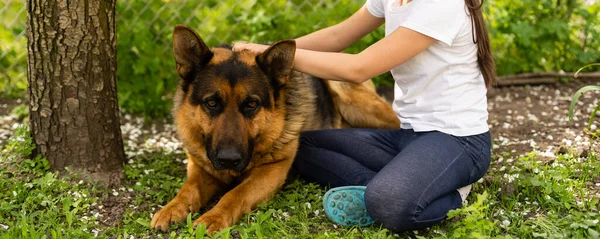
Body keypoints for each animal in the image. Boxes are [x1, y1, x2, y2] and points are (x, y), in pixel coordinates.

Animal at [151, 24, 398, 232]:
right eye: (211, 103)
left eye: (251, 104)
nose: (228, 160)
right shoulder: (201, 166)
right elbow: (188, 188)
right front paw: (172, 208)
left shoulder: (271, 171)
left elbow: (235, 194)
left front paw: (213, 216)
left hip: (346, 91)